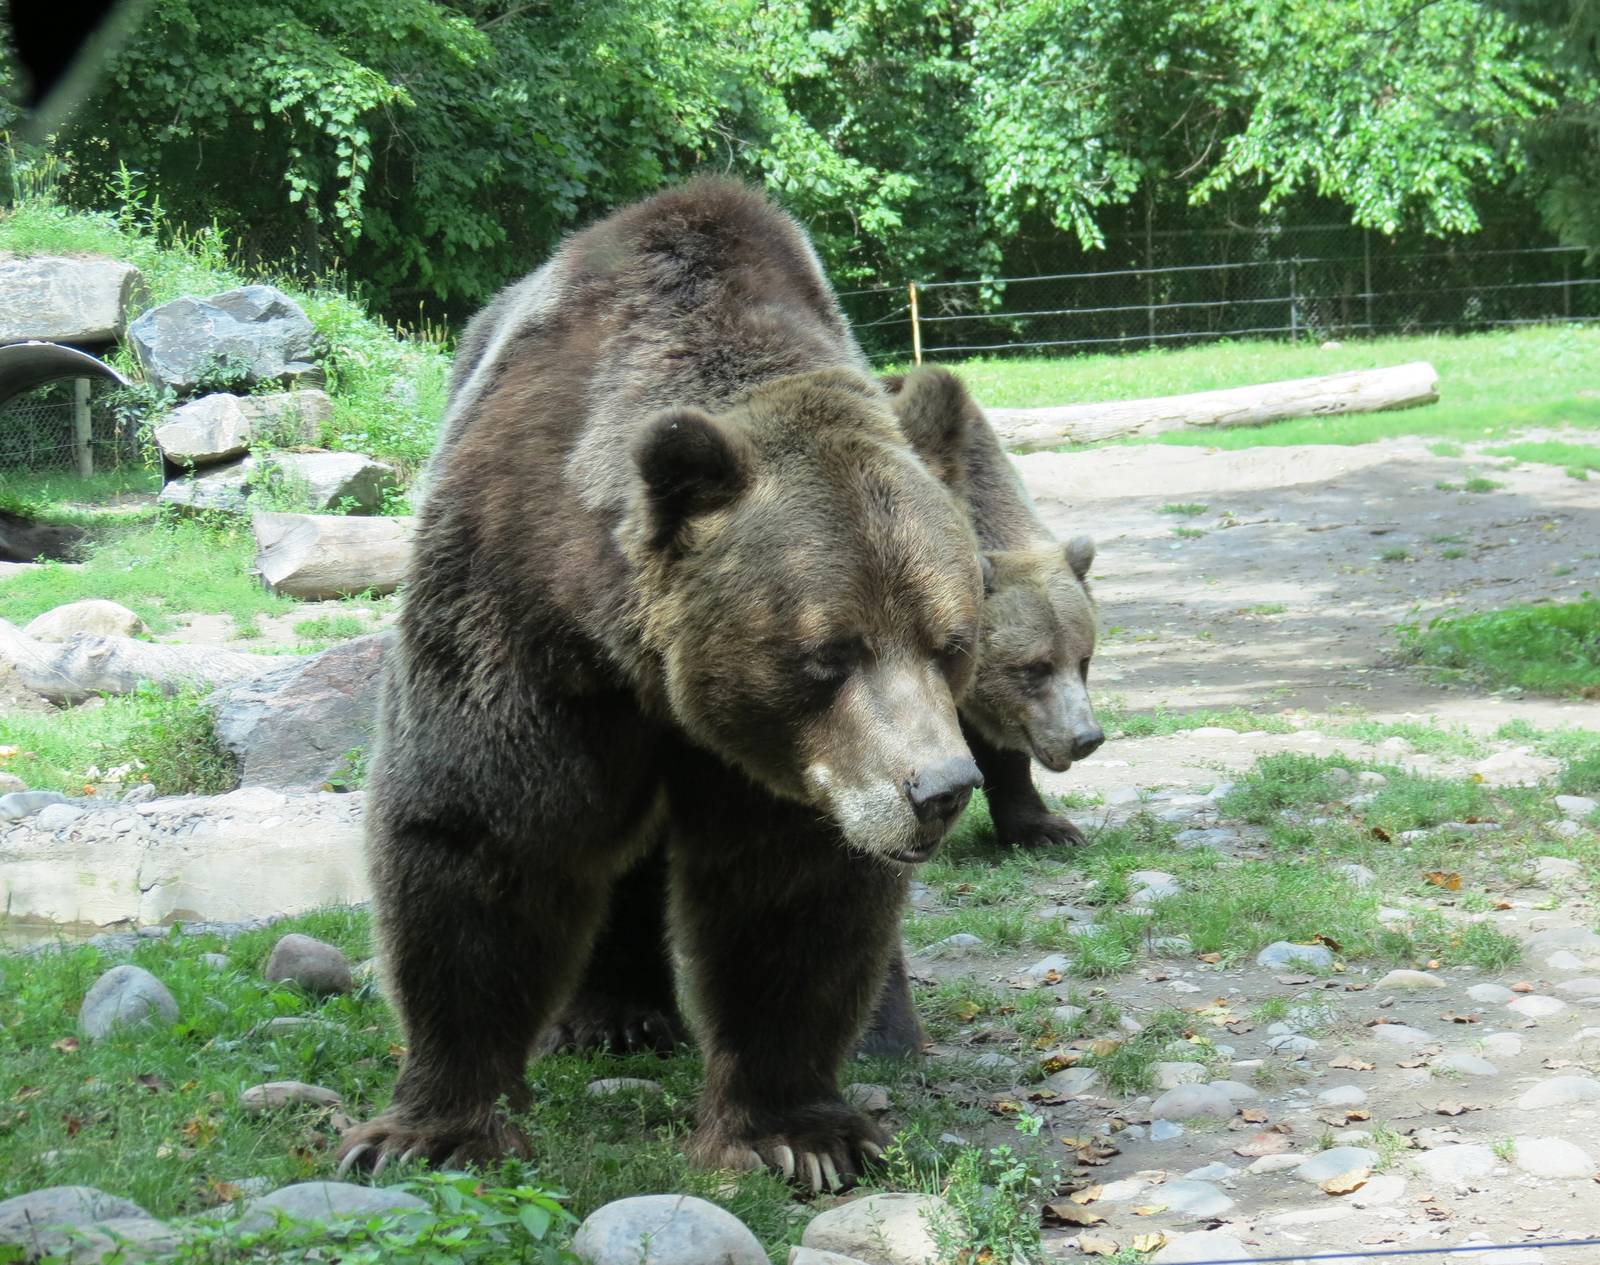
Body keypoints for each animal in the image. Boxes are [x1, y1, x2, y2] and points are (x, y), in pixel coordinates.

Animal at [336, 178, 985, 1187]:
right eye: (828, 652)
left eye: (950, 641)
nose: (941, 789)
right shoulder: (521, 616)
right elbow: (482, 826)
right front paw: (431, 1126)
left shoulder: (805, 768)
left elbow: (787, 891)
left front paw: (800, 1132)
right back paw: (614, 1014)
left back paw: (884, 1029)